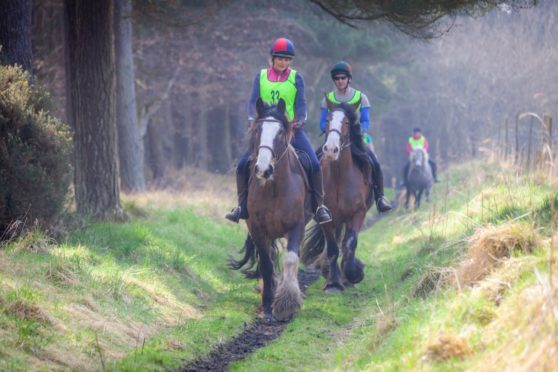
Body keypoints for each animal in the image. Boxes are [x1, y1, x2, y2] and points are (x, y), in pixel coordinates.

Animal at [230, 99, 312, 322]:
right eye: (258, 130)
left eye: (281, 132)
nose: (263, 169)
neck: (274, 188)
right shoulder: (257, 229)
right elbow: (266, 265)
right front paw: (268, 306)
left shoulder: (297, 225)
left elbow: (291, 259)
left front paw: (287, 303)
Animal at [302, 100, 372, 292]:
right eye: (327, 120)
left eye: (347, 122)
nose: (331, 150)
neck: (340, 176)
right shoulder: (327, 217)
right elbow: (333, 248)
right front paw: (333, 283)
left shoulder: (358, 212)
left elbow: (350, 243)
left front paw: (354, 273)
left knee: (347, 240)